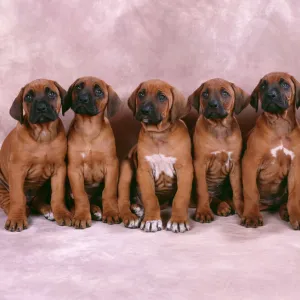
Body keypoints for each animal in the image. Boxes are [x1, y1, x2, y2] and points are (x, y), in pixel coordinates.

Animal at [0, 78, 71, 231]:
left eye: (51, 94)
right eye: (28, 97)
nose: (41, 108)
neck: (43, 134)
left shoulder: (59, 168)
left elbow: (58, 195)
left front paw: (62, 213)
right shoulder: (17, 169)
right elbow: (17, 197)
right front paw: (16, 218)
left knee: (36, 201)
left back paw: (48, 210)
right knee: (8, 202)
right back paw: (20, 211)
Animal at [63, 76, 122, 229]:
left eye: (98, 91)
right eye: (78, 87)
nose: (82, 99)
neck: (89, 129)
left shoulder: (112, 165)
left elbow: (109, 192)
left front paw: (111, 212)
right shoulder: (74, 169)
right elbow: (80, 195)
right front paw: (81, 216)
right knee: (76, 202)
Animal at [117, 79, 192, 232]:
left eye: (162, 97)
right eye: (141, 94)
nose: (144, 110)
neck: (159, 134)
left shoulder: (185, 168)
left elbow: (181, 197)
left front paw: (178, 221)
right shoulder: (144, 170)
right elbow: (150, 197)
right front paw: (151, 220)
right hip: (127, 168)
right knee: (123, 201)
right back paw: (132, 216)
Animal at [189, 78, 250, 221]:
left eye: (225, 93)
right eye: (205, 94)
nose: (212, 105)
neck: (219, 127)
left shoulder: (235, 165)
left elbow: (238, 190)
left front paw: (242, 209)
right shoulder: (200, 164)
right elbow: (202, 191)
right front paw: (203, 211)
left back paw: (227, 206)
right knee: (211, 197)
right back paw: (222, 207)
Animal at [243, 72, 300, 230]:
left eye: (285, 84)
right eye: (263, 86)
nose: (271, 95)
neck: (279, 124)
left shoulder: (295, 166)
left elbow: (294, 194)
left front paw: (296, 215)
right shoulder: (250, 163)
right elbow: (251, 191)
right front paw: (251, 216)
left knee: (284, 202)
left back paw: (285, 211)